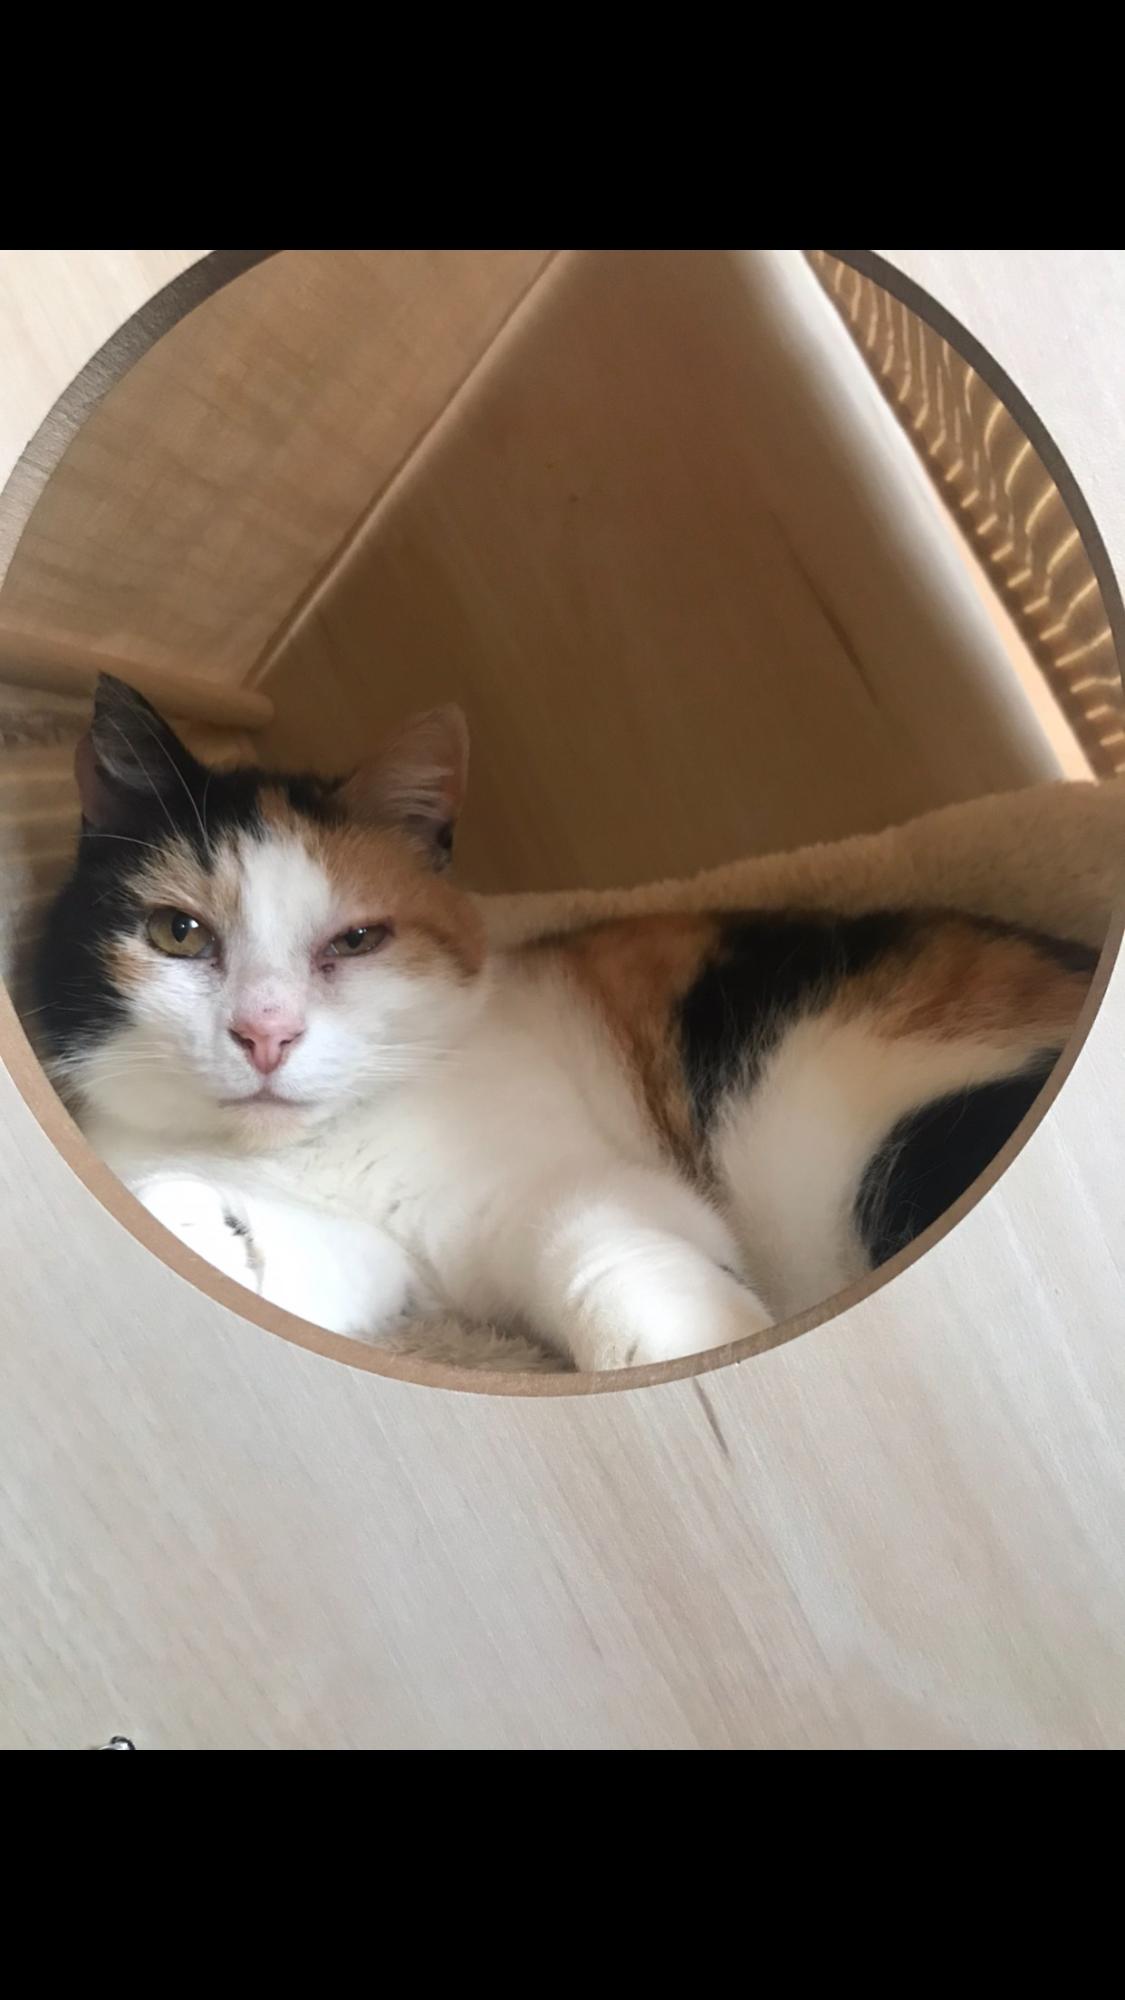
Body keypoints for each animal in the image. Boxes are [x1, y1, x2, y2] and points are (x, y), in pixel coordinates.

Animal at [34, 675, 1096, 1373]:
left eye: (358, 939)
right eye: (178, 932)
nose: (265, 1034)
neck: (315, 1152)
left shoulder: (582, 1182)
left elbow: (596, 1243)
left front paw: (701, 1349)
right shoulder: (371, 1253)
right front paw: (204, 1224)